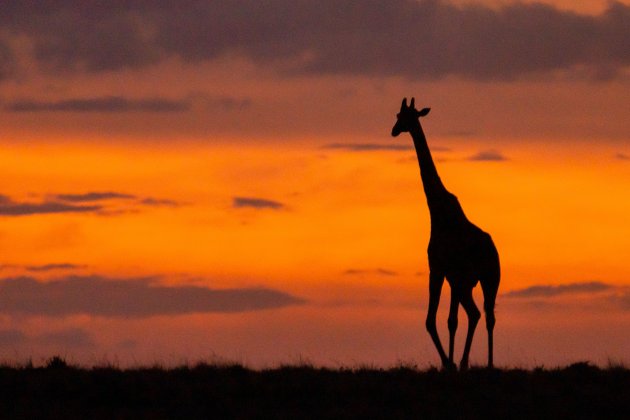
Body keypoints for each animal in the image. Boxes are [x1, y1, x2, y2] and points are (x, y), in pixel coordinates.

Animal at [392, 97, 502, 370]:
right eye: (398, 115)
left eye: (406, 116)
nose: (394, 130)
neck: (438, 210)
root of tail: (492, 250)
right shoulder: (450, 275)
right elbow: (448, 320)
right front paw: (451, 362)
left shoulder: (440, 269)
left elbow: (433, 320)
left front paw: (449, 363)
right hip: (479, 281)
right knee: (482, 315)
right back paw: (479, 363)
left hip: (480, 280)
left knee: (480, 314)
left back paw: (473, 363)